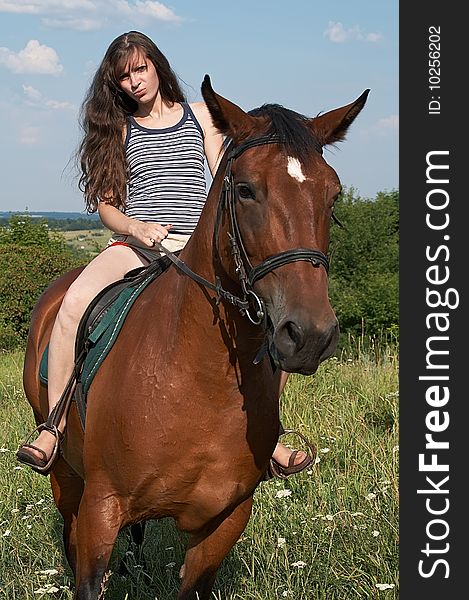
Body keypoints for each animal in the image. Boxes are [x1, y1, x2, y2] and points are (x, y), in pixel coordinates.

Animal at [22, 77, 368, 596]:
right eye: (245, 189)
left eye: (334, 195)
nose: (309, 334)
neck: (199, 380)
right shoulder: (100, 511)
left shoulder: (224, 522)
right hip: (65, 479)